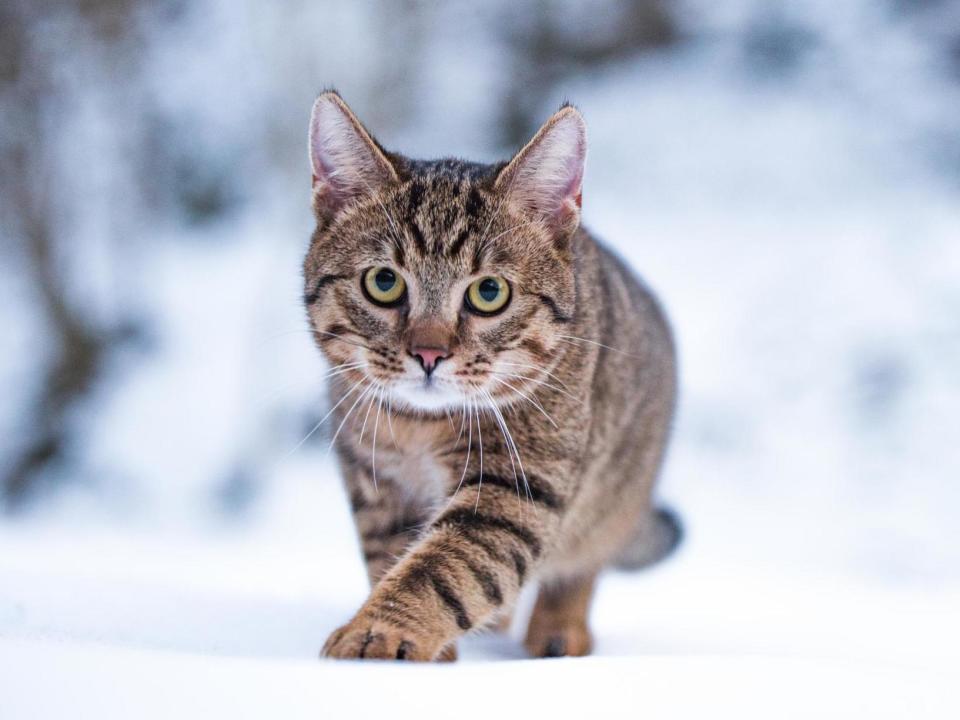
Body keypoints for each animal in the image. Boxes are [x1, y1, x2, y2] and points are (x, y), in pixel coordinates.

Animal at [304, 91, 680, 664]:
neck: (418, 429)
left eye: (488, 293)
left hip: (616, 488)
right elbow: (393, 556)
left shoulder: (515, 489)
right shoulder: (375, 483)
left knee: (581, 564)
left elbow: (442, 569)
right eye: (384, 282)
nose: (429, 352)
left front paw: (381, 631)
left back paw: (560, 630)